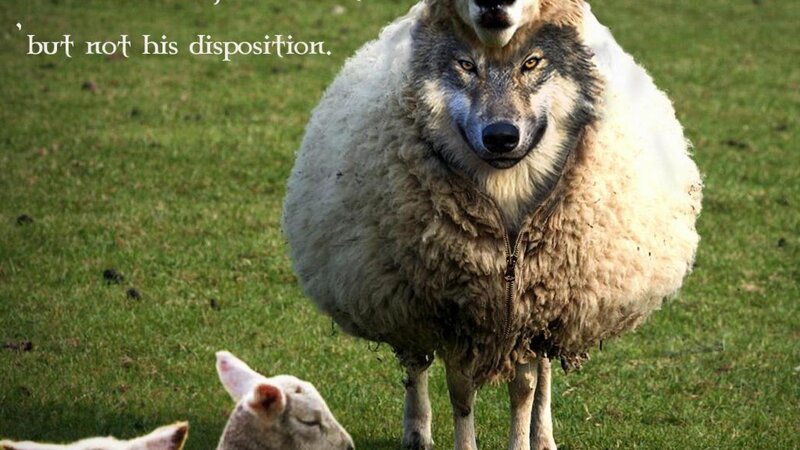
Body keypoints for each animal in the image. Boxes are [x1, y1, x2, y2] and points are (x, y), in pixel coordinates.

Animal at [282, 1, 702, 449]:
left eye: (532, 63)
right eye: (465, 65)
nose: (501, 136)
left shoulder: (533, 309)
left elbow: (525, 390)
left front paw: (524, 437)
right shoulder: (453, 312)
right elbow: (461, 392)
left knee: (544, 373)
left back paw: (543, 435)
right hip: (402, 296)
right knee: (415, 362)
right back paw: (417, 430)